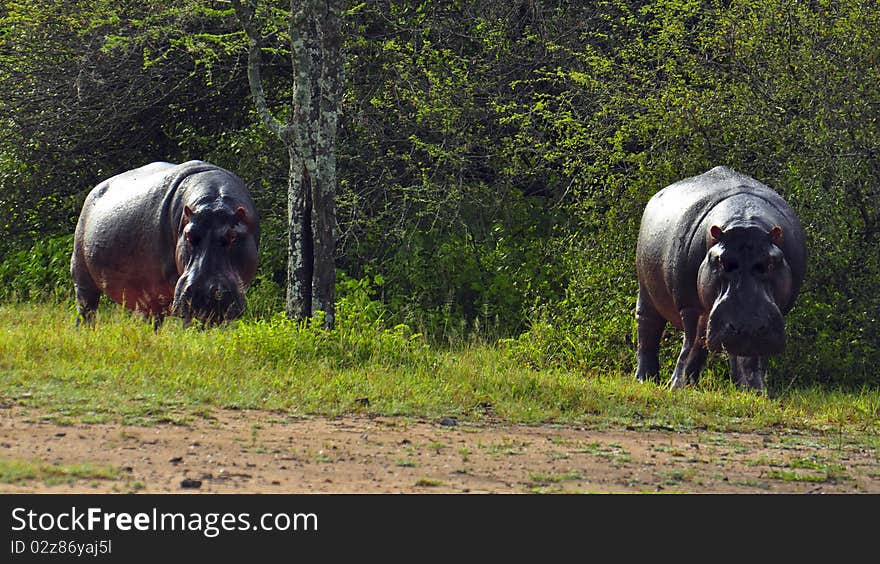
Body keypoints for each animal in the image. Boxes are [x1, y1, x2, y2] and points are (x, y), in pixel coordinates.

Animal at [72, 160, 260, 326]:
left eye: (232, 236)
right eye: (188, 235)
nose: (202, 292)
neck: (214, 200)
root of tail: (93, 191)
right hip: (82, 277)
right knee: (86, 310)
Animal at [636, 165, 808, 390]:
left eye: (771, 263)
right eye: (721, 262)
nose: (747, 327)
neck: (745, 222)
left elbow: (751, 357)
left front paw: (755, 391)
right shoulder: (689, 305)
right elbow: (690, 344)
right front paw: (676, 387)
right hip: (647, 291)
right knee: (649, 329)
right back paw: (646, 380)